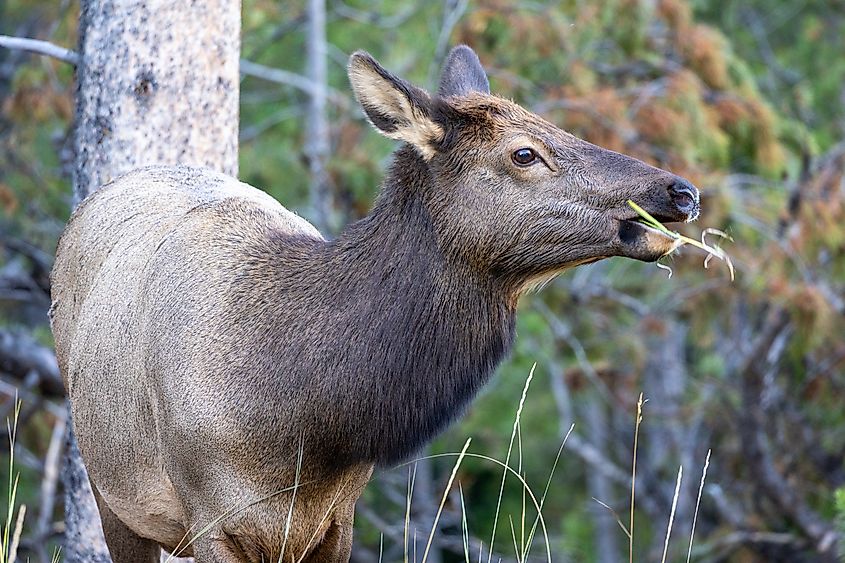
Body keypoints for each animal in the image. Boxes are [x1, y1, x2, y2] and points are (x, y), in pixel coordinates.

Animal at [50, 45, 699, 562]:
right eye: (524, 153)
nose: (680, 190)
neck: (300, 417)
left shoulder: (336, 520)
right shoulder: (210, 518)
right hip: (111, 490)